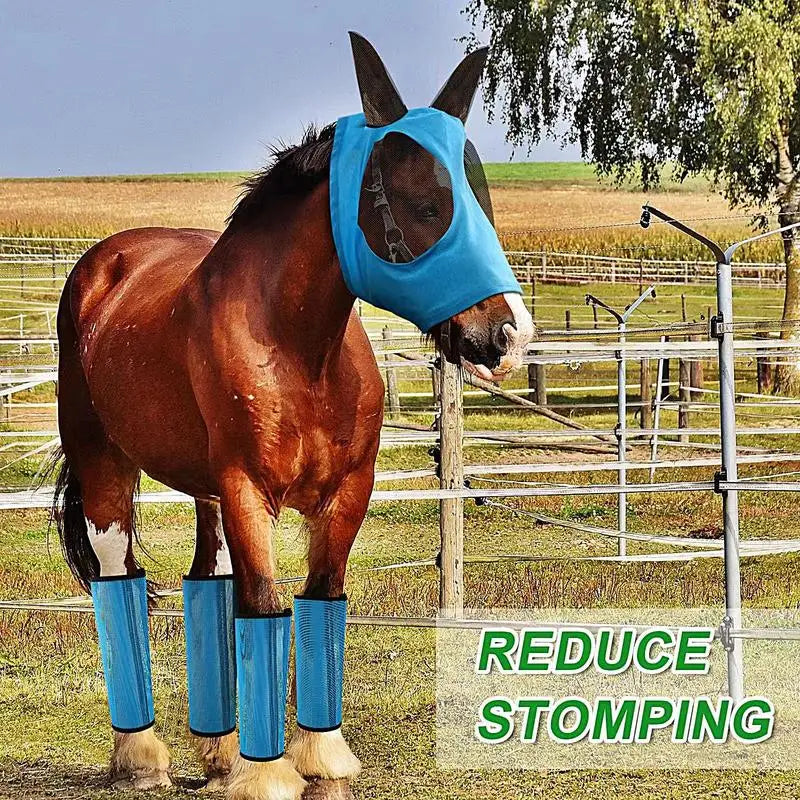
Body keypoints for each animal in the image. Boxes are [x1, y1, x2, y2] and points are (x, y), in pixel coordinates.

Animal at [53, 32, 535, 800]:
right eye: (425, 203)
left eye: (480, 199)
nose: (506, 337)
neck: (298, 348)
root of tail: (104, 265)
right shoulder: (250, 491)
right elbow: (264, 606)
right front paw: (268, 771)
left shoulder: (345, 493)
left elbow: (318, 598)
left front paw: (320, 753)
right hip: (107, 469)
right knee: (116, 580)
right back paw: (143, 755)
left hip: (206, 492)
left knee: (206, 581)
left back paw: (218, 753)